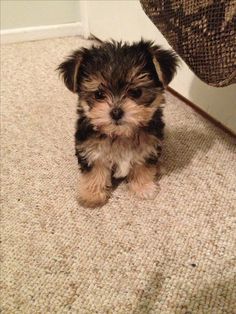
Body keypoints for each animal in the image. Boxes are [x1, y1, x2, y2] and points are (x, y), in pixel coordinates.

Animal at [58, 40, 178, 207]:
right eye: (99, 94)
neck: (120, 134)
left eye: (136, 92)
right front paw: (92, 194)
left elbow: (143, 166)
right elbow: (96, 169)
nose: (116, 112)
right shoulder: (91, 148)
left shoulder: (149, 146)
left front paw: (143, 187)